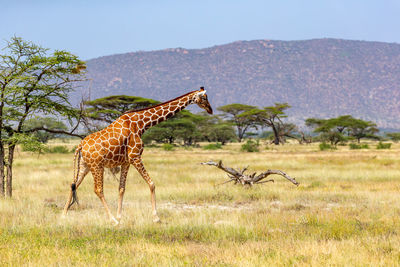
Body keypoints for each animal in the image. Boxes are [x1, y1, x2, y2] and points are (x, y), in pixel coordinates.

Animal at [62, 87, 212, 224]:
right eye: (204, 98)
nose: (210, 110)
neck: (141, 124)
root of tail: (80, 145)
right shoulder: (135, 157)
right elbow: (152, 184)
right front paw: (156, 218)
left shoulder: (126, 162)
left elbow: (121, 188)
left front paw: (120, 217)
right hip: (97, 166)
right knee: (98, 190)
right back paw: (111, 220)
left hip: (85, 165)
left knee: (73, 184)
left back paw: (64, 216)